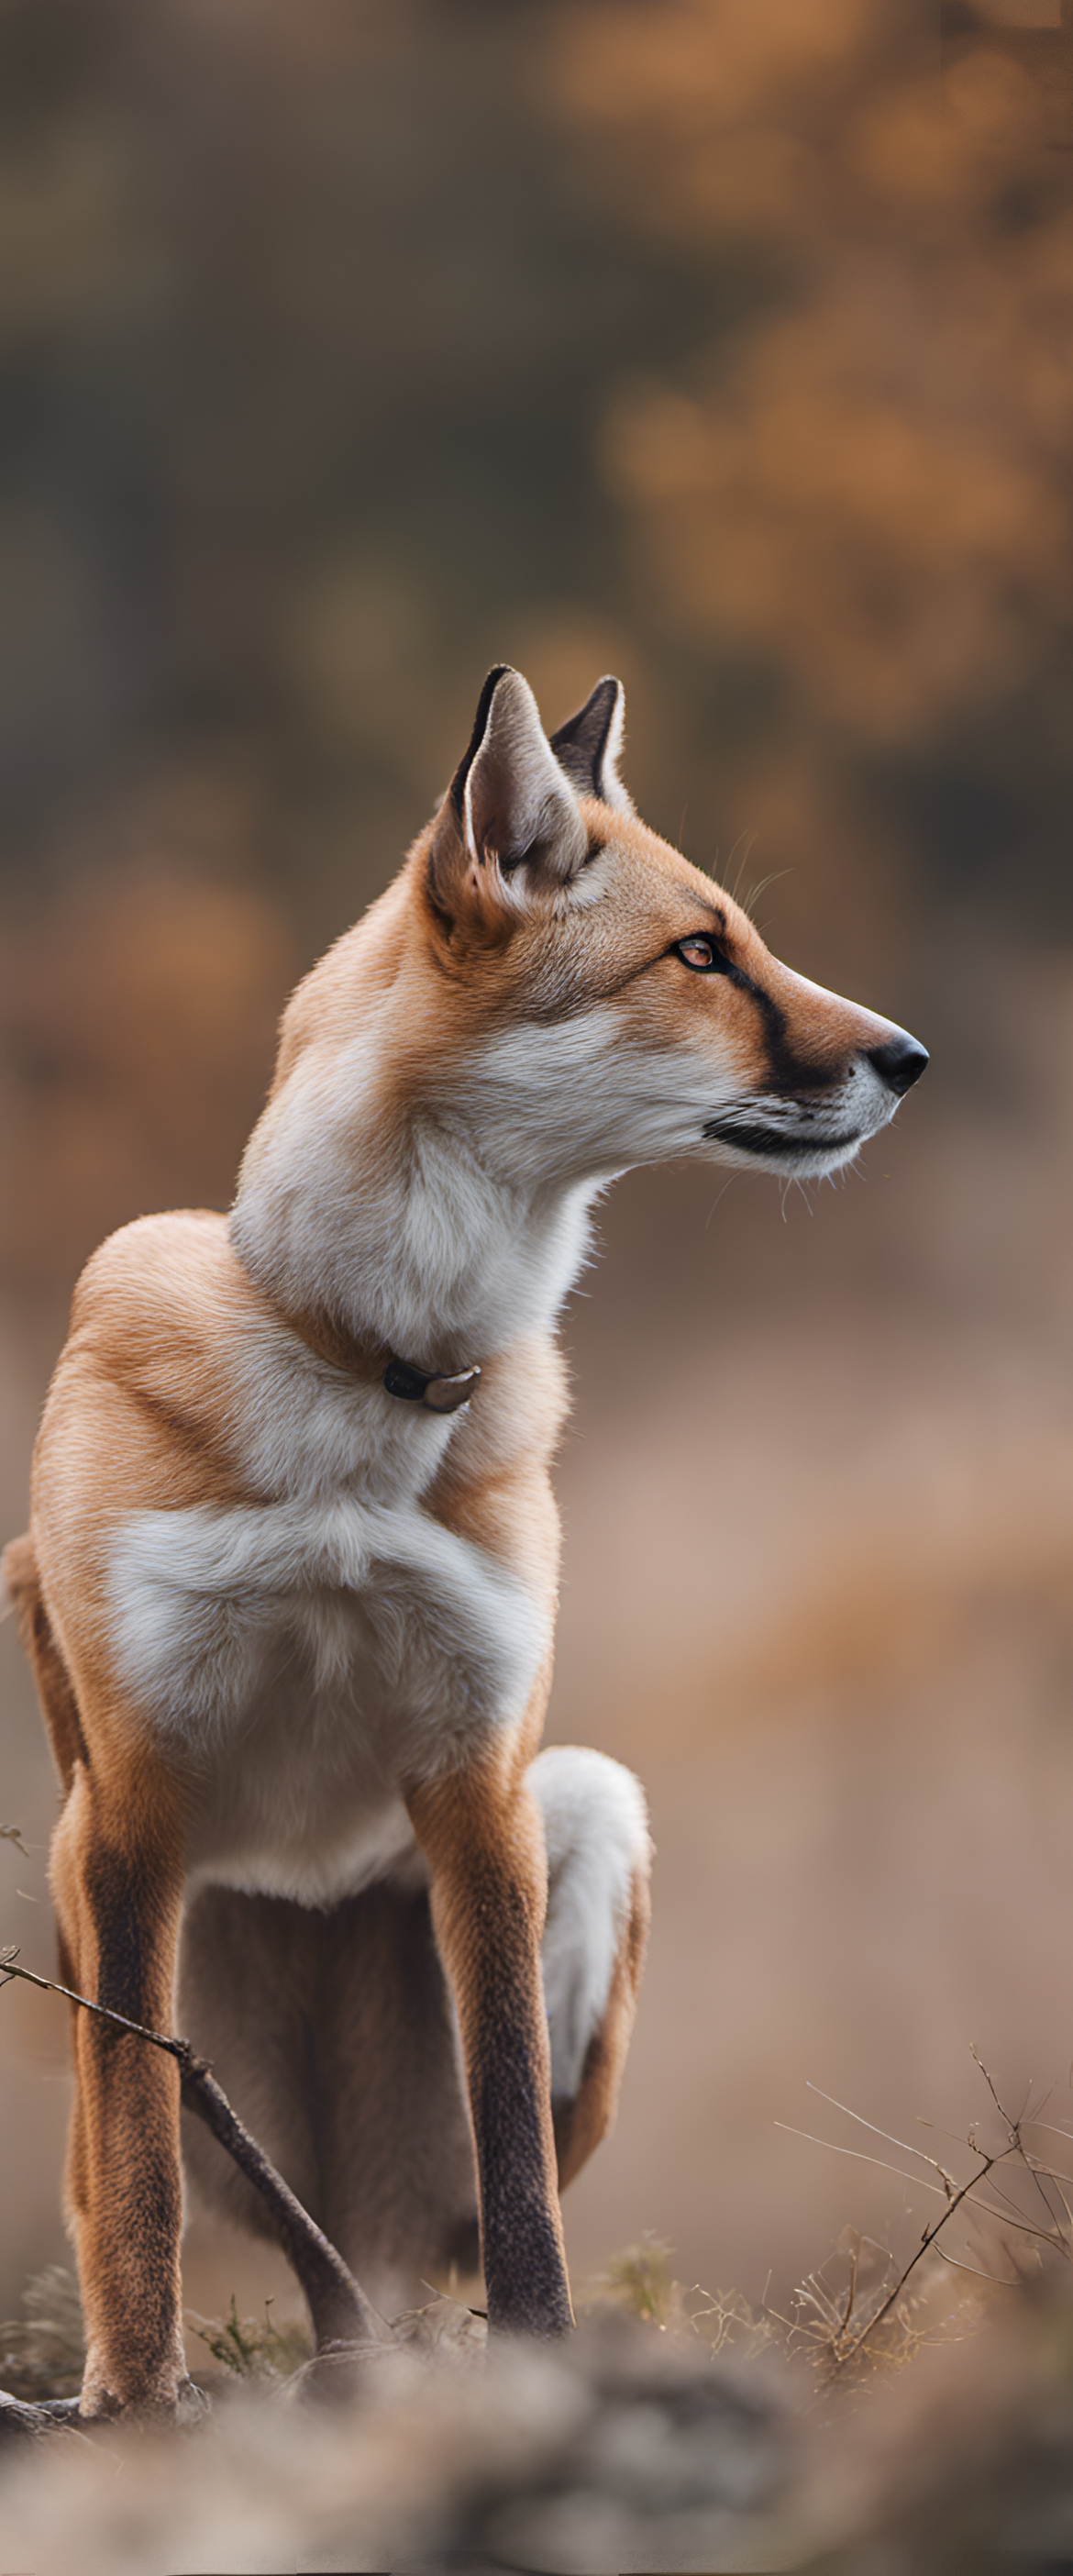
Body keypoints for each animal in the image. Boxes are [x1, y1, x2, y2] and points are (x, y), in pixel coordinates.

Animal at [4, 664, 921, 2411]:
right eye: (700, 953)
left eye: (745, 939)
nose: (914, 1055)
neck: (368, 1376)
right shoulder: (133, 1803)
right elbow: (138, 2175)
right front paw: (136, 2410)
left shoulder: (476, 1779)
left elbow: (517, 2189)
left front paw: (549, 2366)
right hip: (73, 1905)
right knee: (149, 2173)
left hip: (592, 1815)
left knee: (412, 2258)